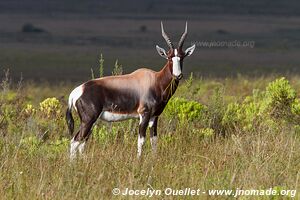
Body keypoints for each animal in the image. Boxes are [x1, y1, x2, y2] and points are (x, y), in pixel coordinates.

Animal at [66, 21, 196, 159]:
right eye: (169, 58)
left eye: (182, 57)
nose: (178, 75)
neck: (155, 80)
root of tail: (76, 92)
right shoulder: (144, 115)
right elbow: (141, 140)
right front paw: (139, 160)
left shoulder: (154, 117)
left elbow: (154, 140)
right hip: (88, 120)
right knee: (75, 141)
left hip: (91, 122)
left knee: (82, 143)